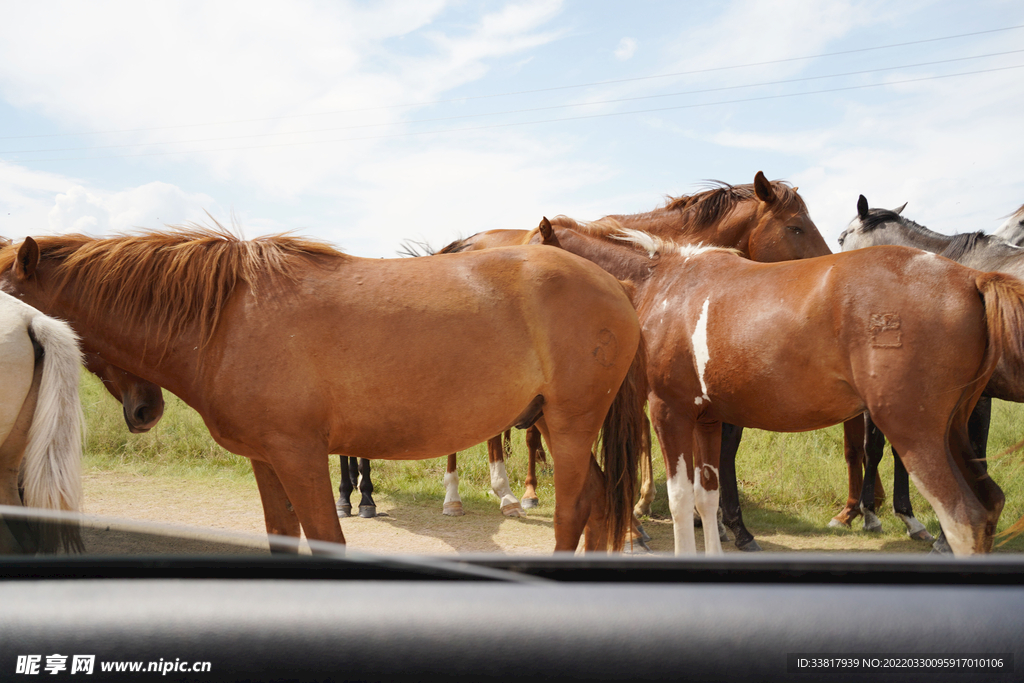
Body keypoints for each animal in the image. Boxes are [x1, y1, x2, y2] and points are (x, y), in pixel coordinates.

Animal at [0, 227, 643, 552]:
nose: (144, 410)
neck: (226, 318)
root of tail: (618, 285)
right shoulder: (265, 459)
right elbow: (284, 537)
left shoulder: (300, 455)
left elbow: (327, 536)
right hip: (551, 422)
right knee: (596, 502)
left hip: (569, 423)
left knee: (573, 511)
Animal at [528, 223, 1024, 557]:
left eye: (531, 251)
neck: (667, 283)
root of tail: (971, 279)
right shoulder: (708, 418)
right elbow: (707, 497)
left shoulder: (670, 411)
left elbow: (681, 499)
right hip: (954, 431)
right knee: (990, 505)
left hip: (915, 432)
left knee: (963, 519)